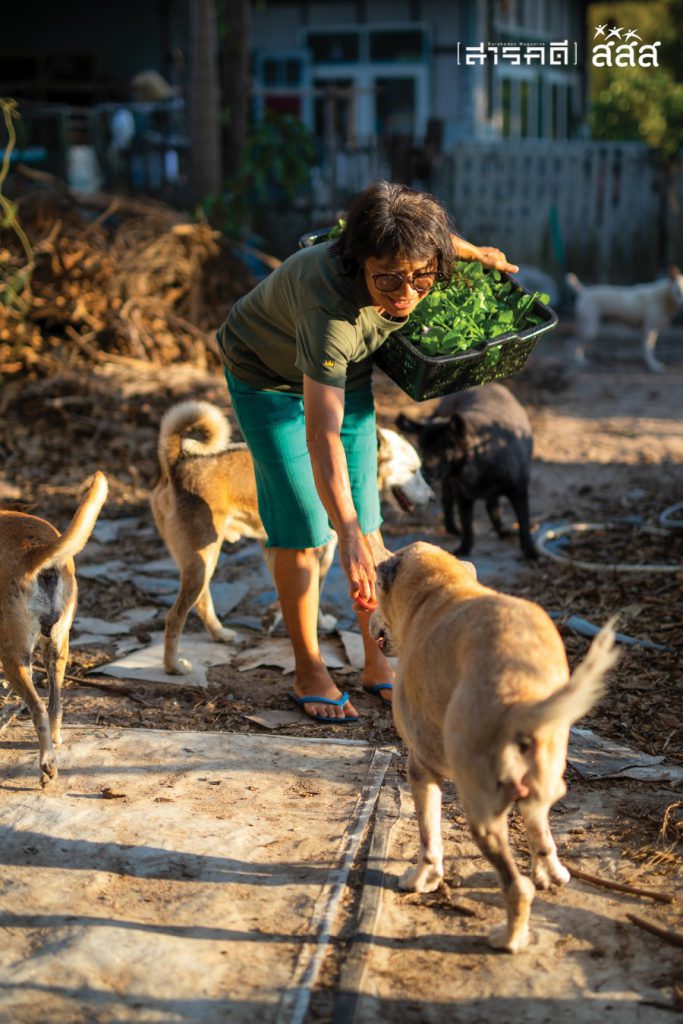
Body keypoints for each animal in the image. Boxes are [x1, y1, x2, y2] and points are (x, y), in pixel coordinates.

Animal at [0, 475, 107, 786]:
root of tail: (34, 552)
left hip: (13, 656)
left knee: (38, 710)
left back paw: (47, 765)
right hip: (58, 647)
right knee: (54, 706)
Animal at [370, 544, 618, 950]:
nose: (371, 619)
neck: (439, 591)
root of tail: (519, 696)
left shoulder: (420, 769)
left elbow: (429, 839)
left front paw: (421, 880)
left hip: (482, 814)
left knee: (517, 888)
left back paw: (508, 939)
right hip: (542, 782)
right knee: (541, 836)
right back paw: (551, 874)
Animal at [395, 385, 540, 561]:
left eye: (439, 450)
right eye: (422, 449)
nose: (422, 473)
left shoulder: (518, 492)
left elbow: (524, 523)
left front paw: (530, 551)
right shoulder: (463, 497)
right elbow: (467, 526)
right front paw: (464, 548)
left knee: (491, 507)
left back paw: (501, 530)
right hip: (449, 484)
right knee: (448, 501)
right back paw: (452, 528)